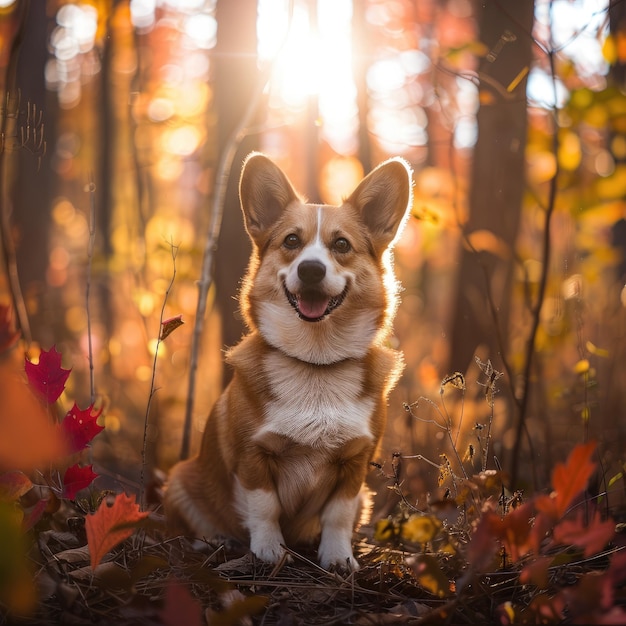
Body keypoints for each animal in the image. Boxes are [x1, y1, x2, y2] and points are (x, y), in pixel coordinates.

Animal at [163, 154, 412, 568]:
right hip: (180, 481)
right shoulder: (254, 456)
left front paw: (338, 558)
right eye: (291, 241)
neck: (315, 363)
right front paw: (269, 551)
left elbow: (338, 515)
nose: (311, 269)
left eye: (341, 244)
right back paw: (215, 542)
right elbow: (264, 508)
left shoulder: (355, 465)